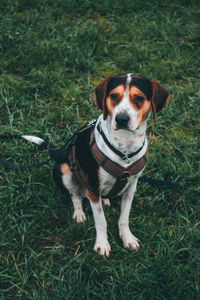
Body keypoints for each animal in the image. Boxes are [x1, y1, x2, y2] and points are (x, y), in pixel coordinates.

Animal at [50, 74, 170, 256]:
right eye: (113, 96)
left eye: (139, 98)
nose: (122, 119)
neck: (125, 147)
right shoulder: (93, 186)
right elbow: (101, 221)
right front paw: (102, 244)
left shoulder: (131, 186)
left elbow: (124, 218)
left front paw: (127, 238)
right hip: (65, 171)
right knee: (75, 195)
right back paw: (79, 213)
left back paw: (105, 200)